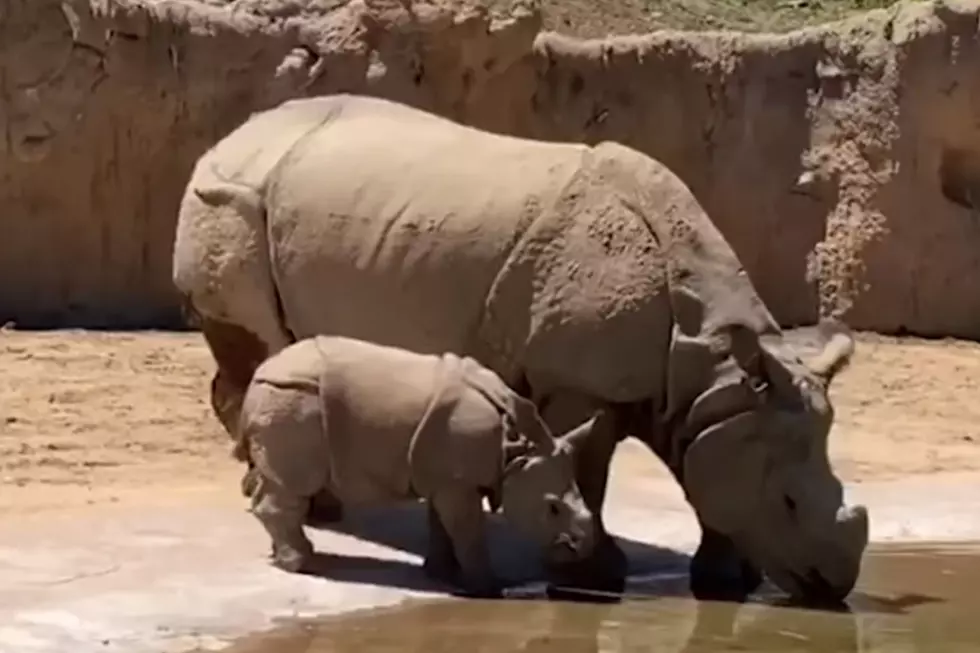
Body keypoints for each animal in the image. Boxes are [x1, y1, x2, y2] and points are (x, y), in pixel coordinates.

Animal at [239, 336, 604, 596]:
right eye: (553, 509)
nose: (582, 548)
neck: (514, 450)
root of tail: (259, 375)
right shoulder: (456, 481)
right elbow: (468, 529)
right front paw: (489, 588)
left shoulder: (447, 476)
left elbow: (443, 525)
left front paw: (442, 575)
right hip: (293, 400)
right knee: (293, 485)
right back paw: (302, 563)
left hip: (284, 398)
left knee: (280, 483)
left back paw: (288, 556)